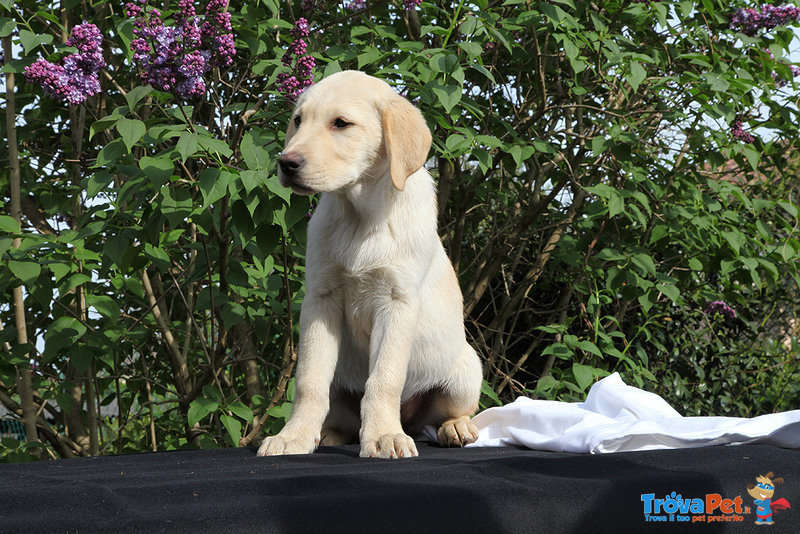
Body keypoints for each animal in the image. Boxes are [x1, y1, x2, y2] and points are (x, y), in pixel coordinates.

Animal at [256, 69, 482, 458]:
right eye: (298, 120)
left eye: (341, 123)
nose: (286, 163)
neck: (359, 217)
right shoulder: (321, 299)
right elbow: (309, 380)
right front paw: (293, 436)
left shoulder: (396, 301)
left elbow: (385, 378)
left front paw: (383, 435)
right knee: (340, 416)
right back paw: (327, 434)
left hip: (465, 371)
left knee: (450, 412)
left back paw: (454, 427)